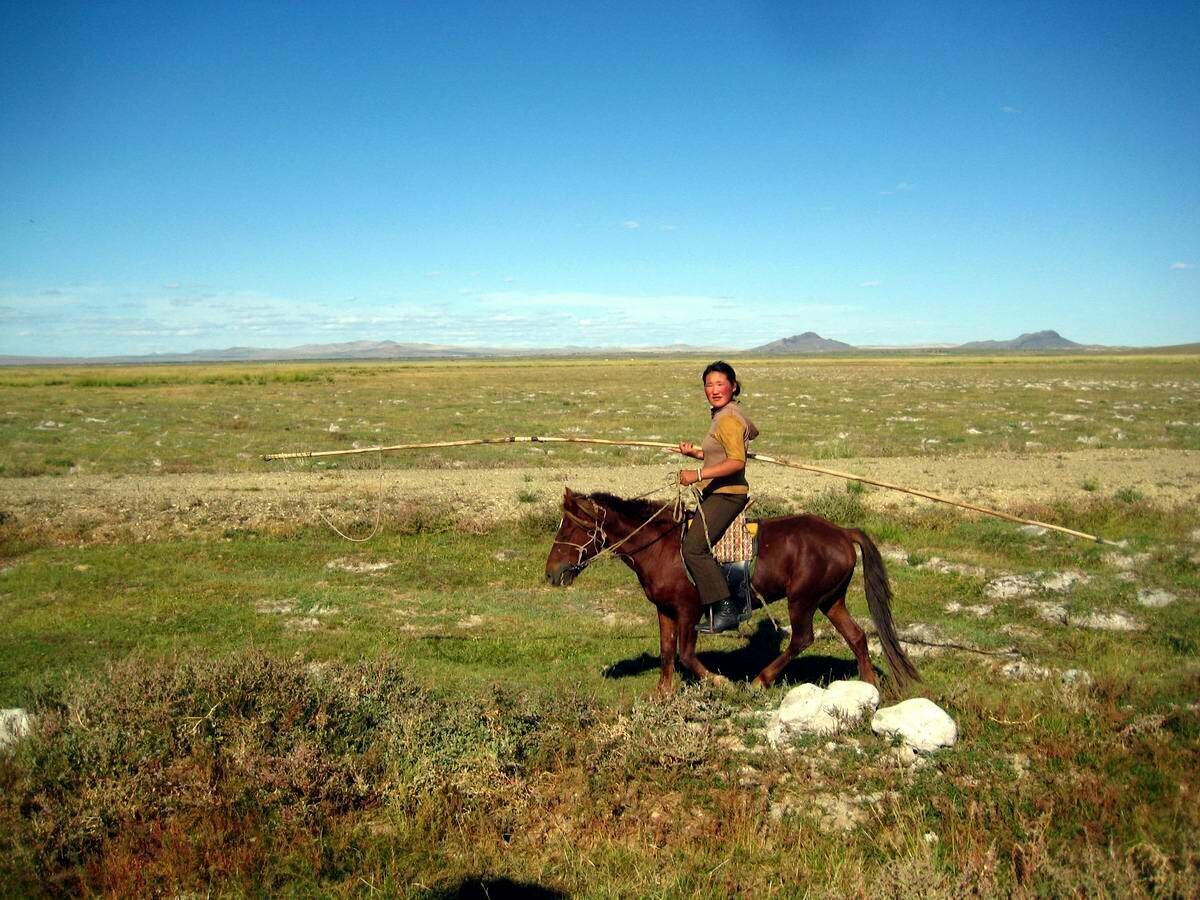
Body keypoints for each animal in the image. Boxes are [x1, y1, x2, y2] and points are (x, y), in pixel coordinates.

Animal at [544, 489, 916, 696]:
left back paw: (761, 679)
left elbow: (686, 653)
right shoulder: (664, 610)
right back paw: (869, 684)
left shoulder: (689, 610)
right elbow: (666, 651)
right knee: (856, 636)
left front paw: (718, 682)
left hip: (804, 600)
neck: (661, 547)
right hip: (830, 600)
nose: (552, 573)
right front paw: (663, 691)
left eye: (574, 528)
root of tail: (841, 532)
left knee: (802, 638)